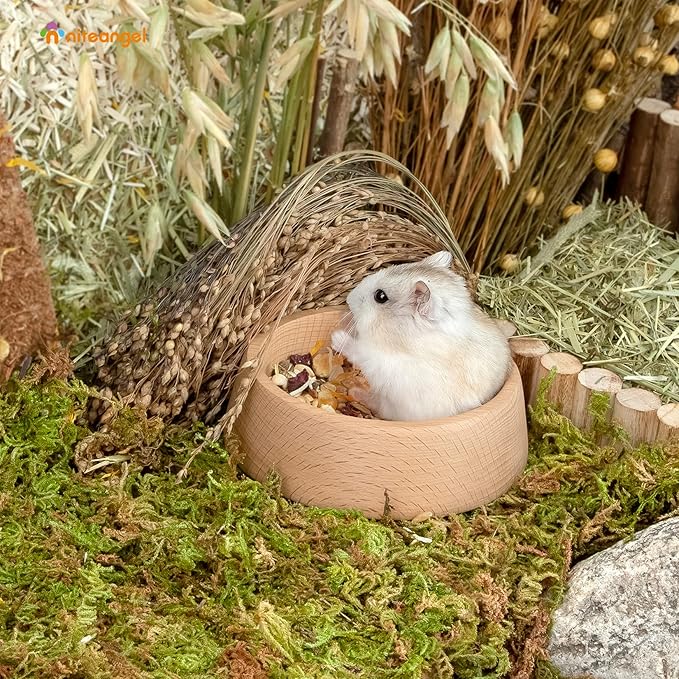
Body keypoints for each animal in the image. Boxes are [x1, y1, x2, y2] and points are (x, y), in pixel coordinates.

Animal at [331, 251, 512, 422]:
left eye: (380, 296)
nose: (348, 299)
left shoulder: (389, 366)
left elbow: (362, 352)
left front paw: (336, 336)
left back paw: (355, 390)